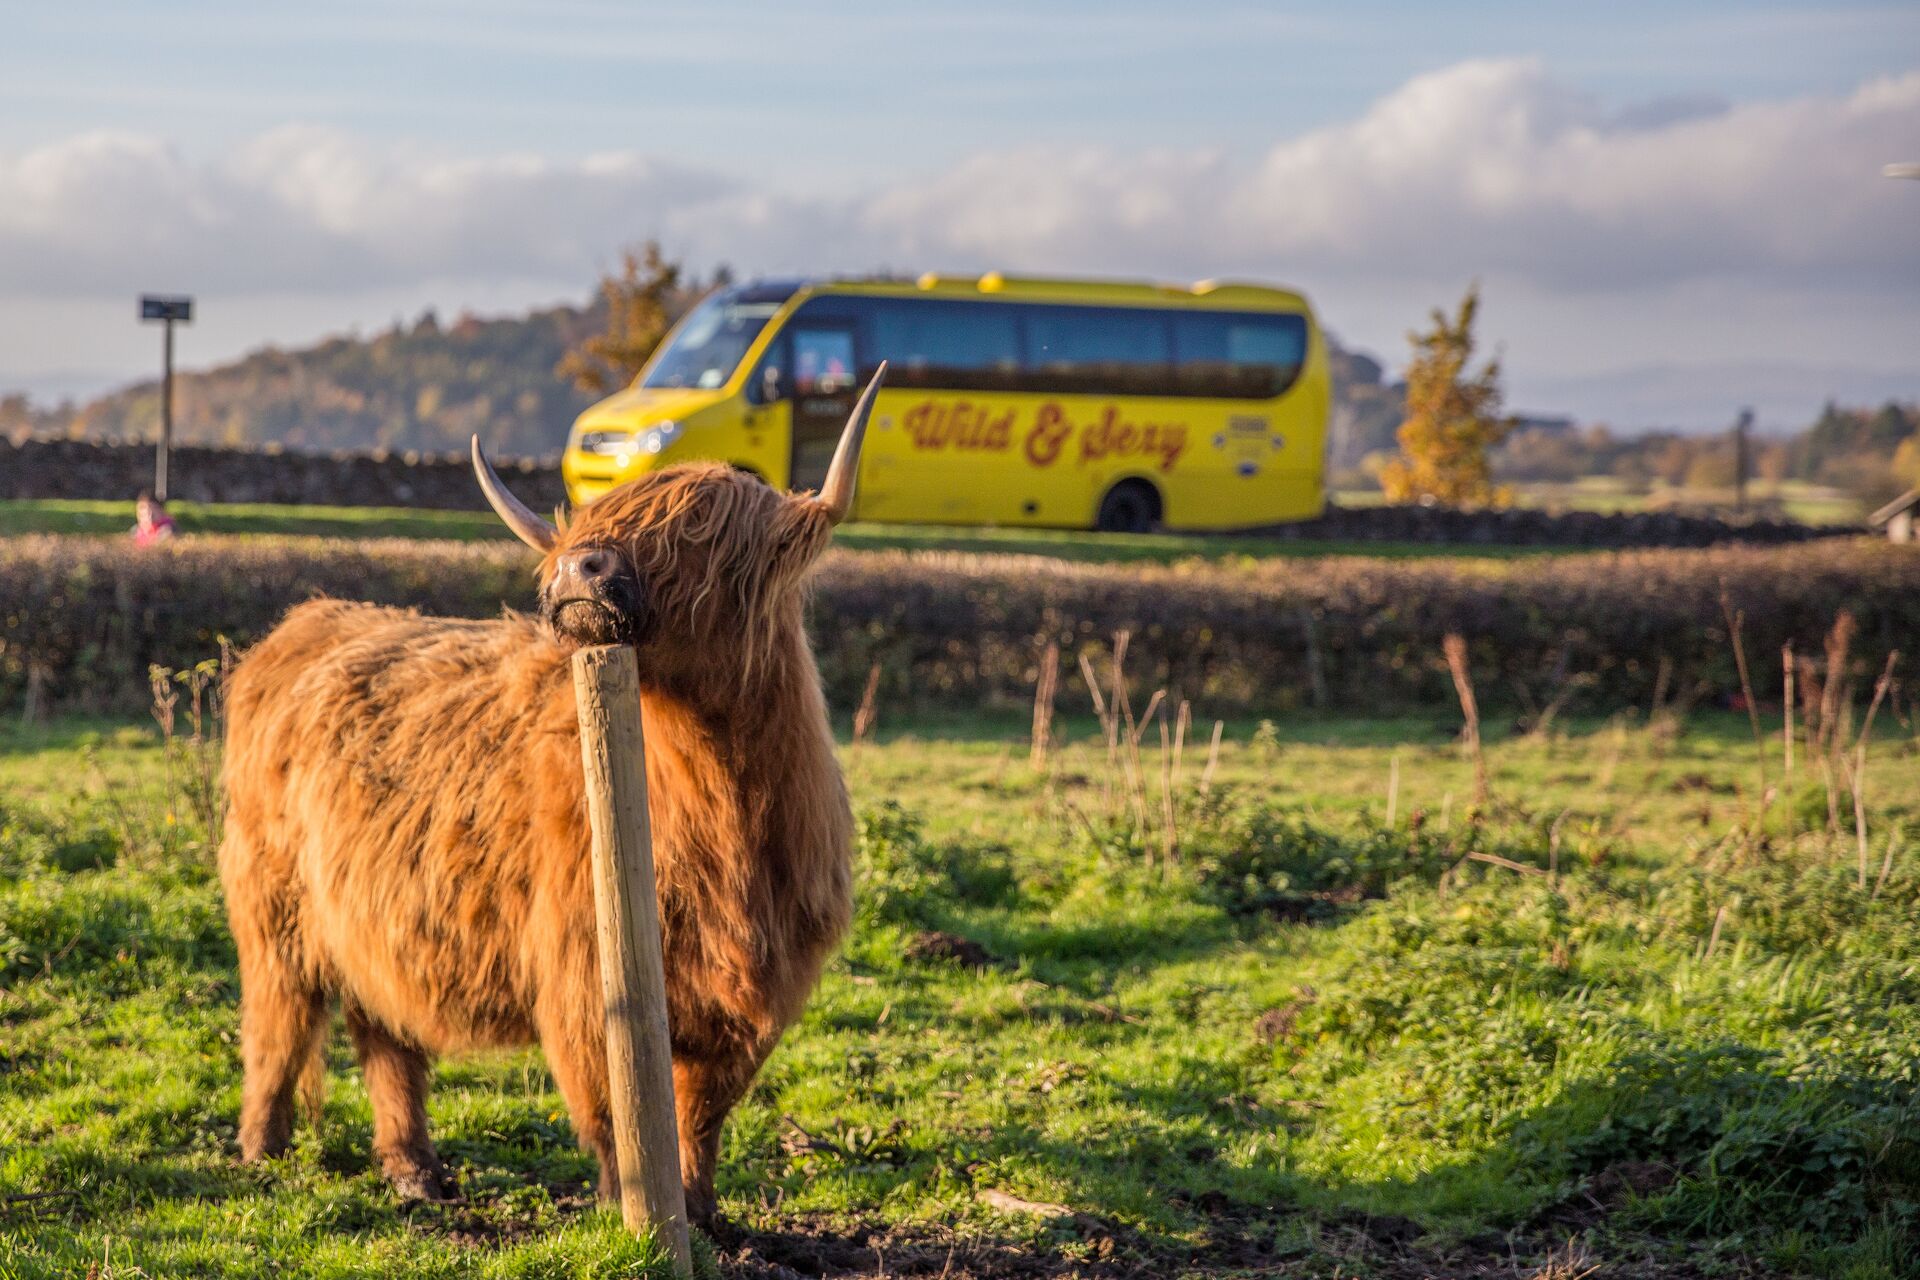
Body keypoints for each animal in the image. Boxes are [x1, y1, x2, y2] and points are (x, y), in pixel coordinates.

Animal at [217, 367, 886, 1225]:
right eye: (595, 524)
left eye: (702, 530)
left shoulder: (761, 989)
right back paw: (262, 1149)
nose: (581, 570)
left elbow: (701, 1112)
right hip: (274, 910)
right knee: (278, 1027)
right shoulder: (582, 974)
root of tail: (312, 620)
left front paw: (703, 1213)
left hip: (371, 915)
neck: (722, 813)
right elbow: (610, 1112)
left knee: (385, 1035)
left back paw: (414, 1171)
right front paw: (628, 1213)